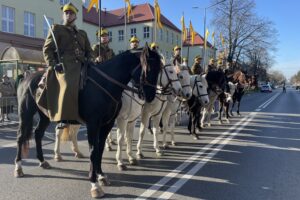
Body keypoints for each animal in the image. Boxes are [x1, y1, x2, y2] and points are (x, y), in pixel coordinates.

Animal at [14, 46, 162, 198]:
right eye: (149, 68)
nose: (151, 96)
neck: (105, 84)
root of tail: (27, 77)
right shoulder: (93, 124)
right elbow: (93, 150)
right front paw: (94, 184)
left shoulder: (107, 124)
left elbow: (100, 149)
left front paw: (101, 175)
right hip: (26, 114)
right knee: (20, 137)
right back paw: (19, 168)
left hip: (45, 116)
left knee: (38, 134)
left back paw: (42, 161)